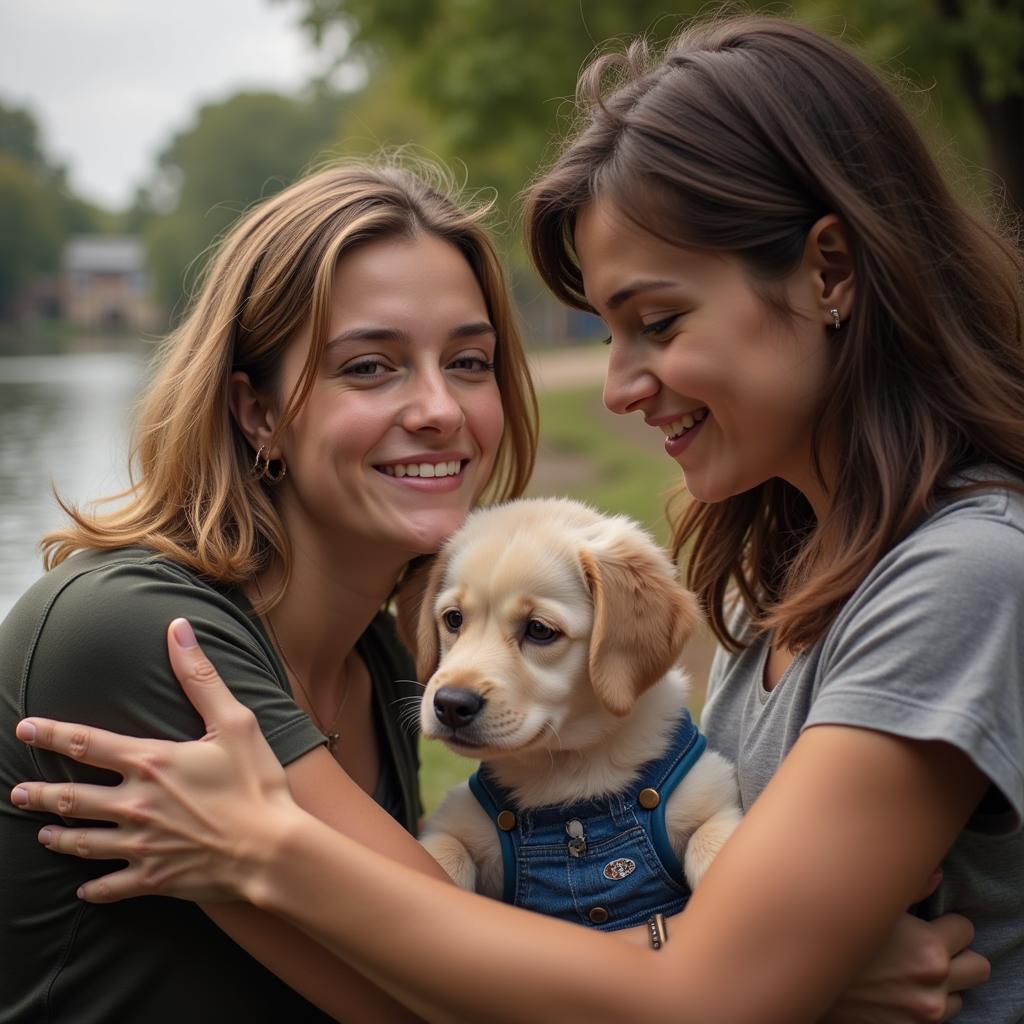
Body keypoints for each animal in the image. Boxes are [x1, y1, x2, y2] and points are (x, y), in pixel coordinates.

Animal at [403, 499, 741, 933]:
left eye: (539, 630)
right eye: (453, 619)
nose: (449, 704)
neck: (568, 771)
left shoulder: (710, 796)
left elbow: (714, 844)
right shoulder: (456, 825)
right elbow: (443, 856)